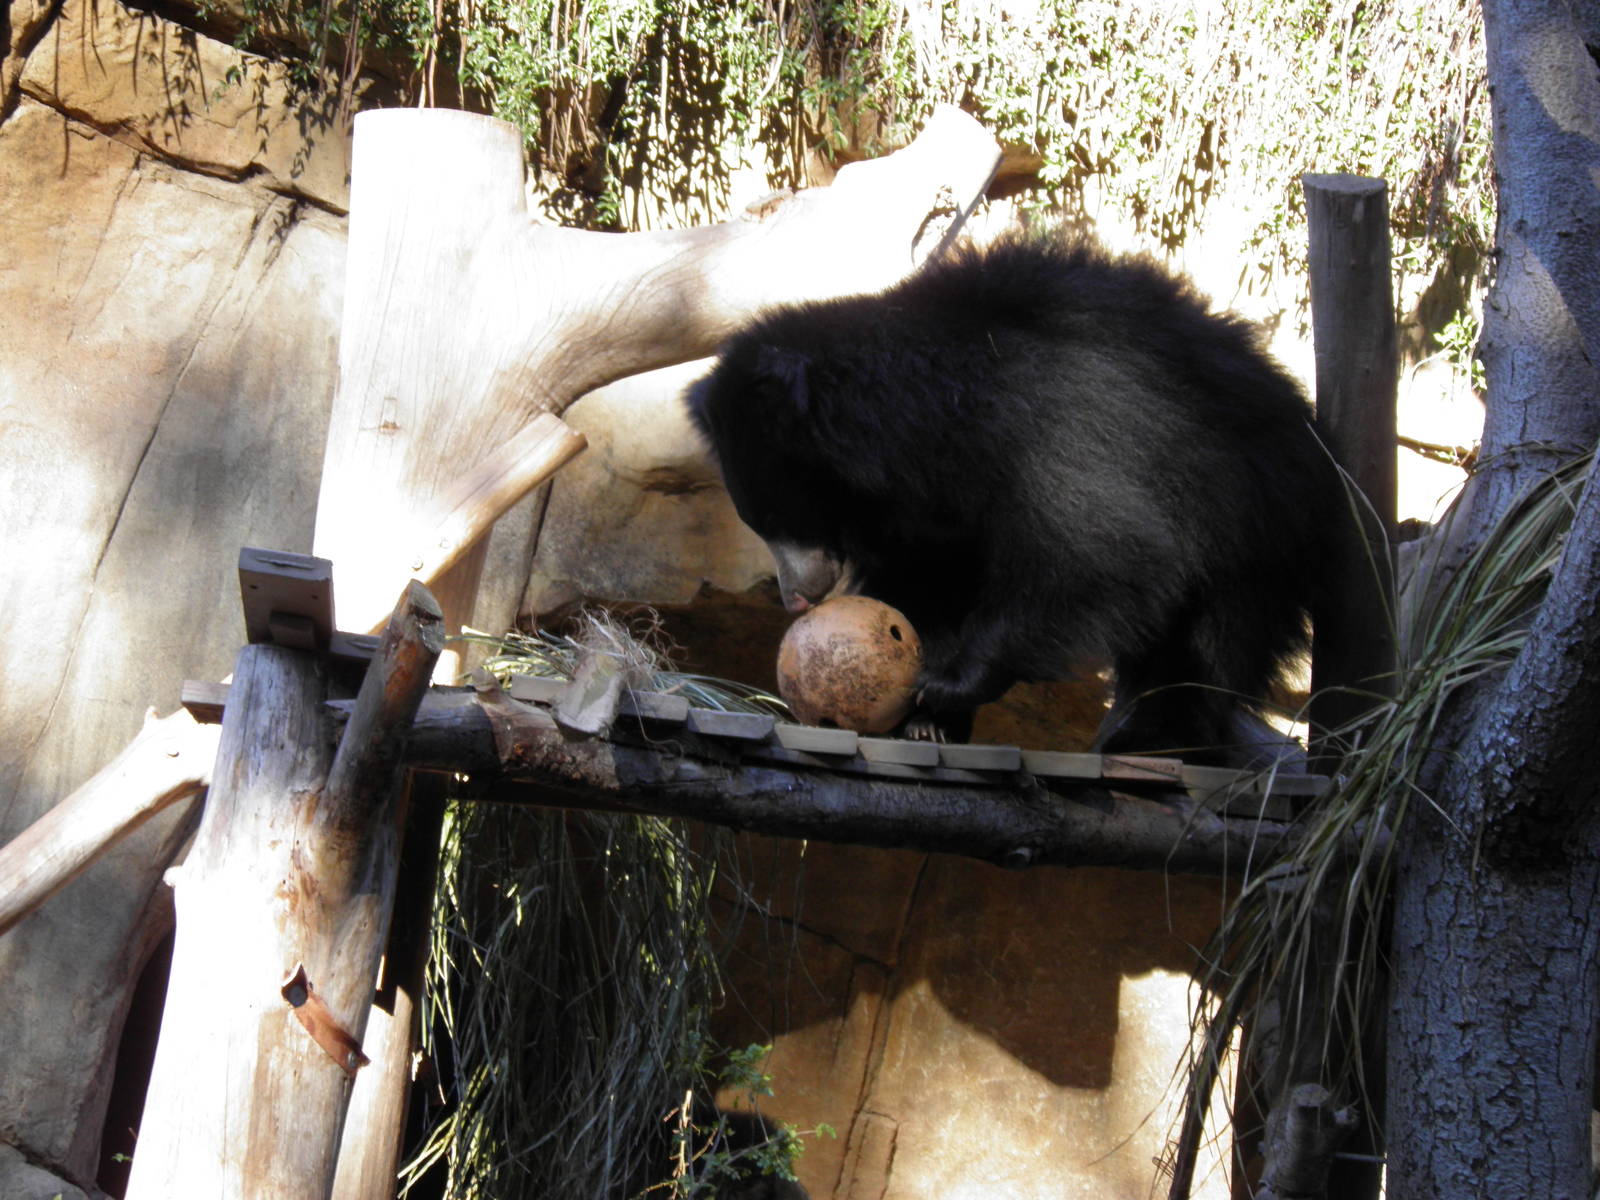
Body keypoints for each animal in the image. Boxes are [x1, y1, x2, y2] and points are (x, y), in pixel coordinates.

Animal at [685, 227, 1344, 763]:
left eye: (779, 514)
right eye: (757, 520)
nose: (795, 598)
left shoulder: (1051, 427)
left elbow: (1102, 551)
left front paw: (945, 686)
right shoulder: (922, 515)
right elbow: (928, 581)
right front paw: (926, 721)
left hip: (1255, 506)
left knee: (1214, 632)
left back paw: (1154, 735)